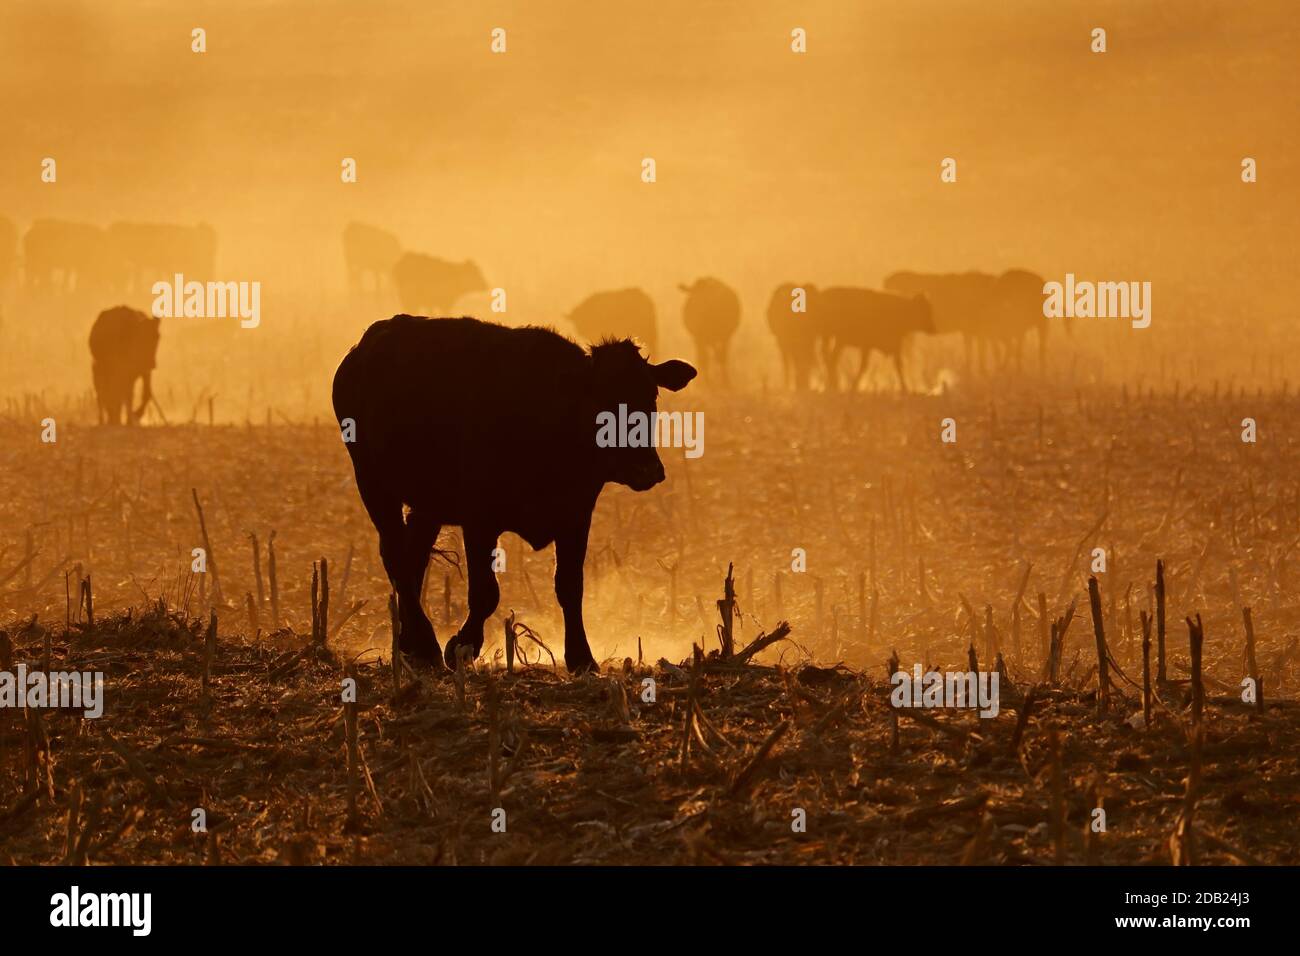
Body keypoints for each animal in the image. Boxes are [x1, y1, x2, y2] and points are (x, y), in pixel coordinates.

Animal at [332, 315, 696, 672]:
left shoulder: (576, 515)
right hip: (373, 483)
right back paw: (426, 645)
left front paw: (582, 657)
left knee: (413, 557)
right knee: (396, 555)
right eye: (601, 402)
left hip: (427, 504)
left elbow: (570, 586)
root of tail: (368, 343)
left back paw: (412, 645)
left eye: (651, 397)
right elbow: (485, 592)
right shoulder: (479, 519)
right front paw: (462, 645)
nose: (646, 470)